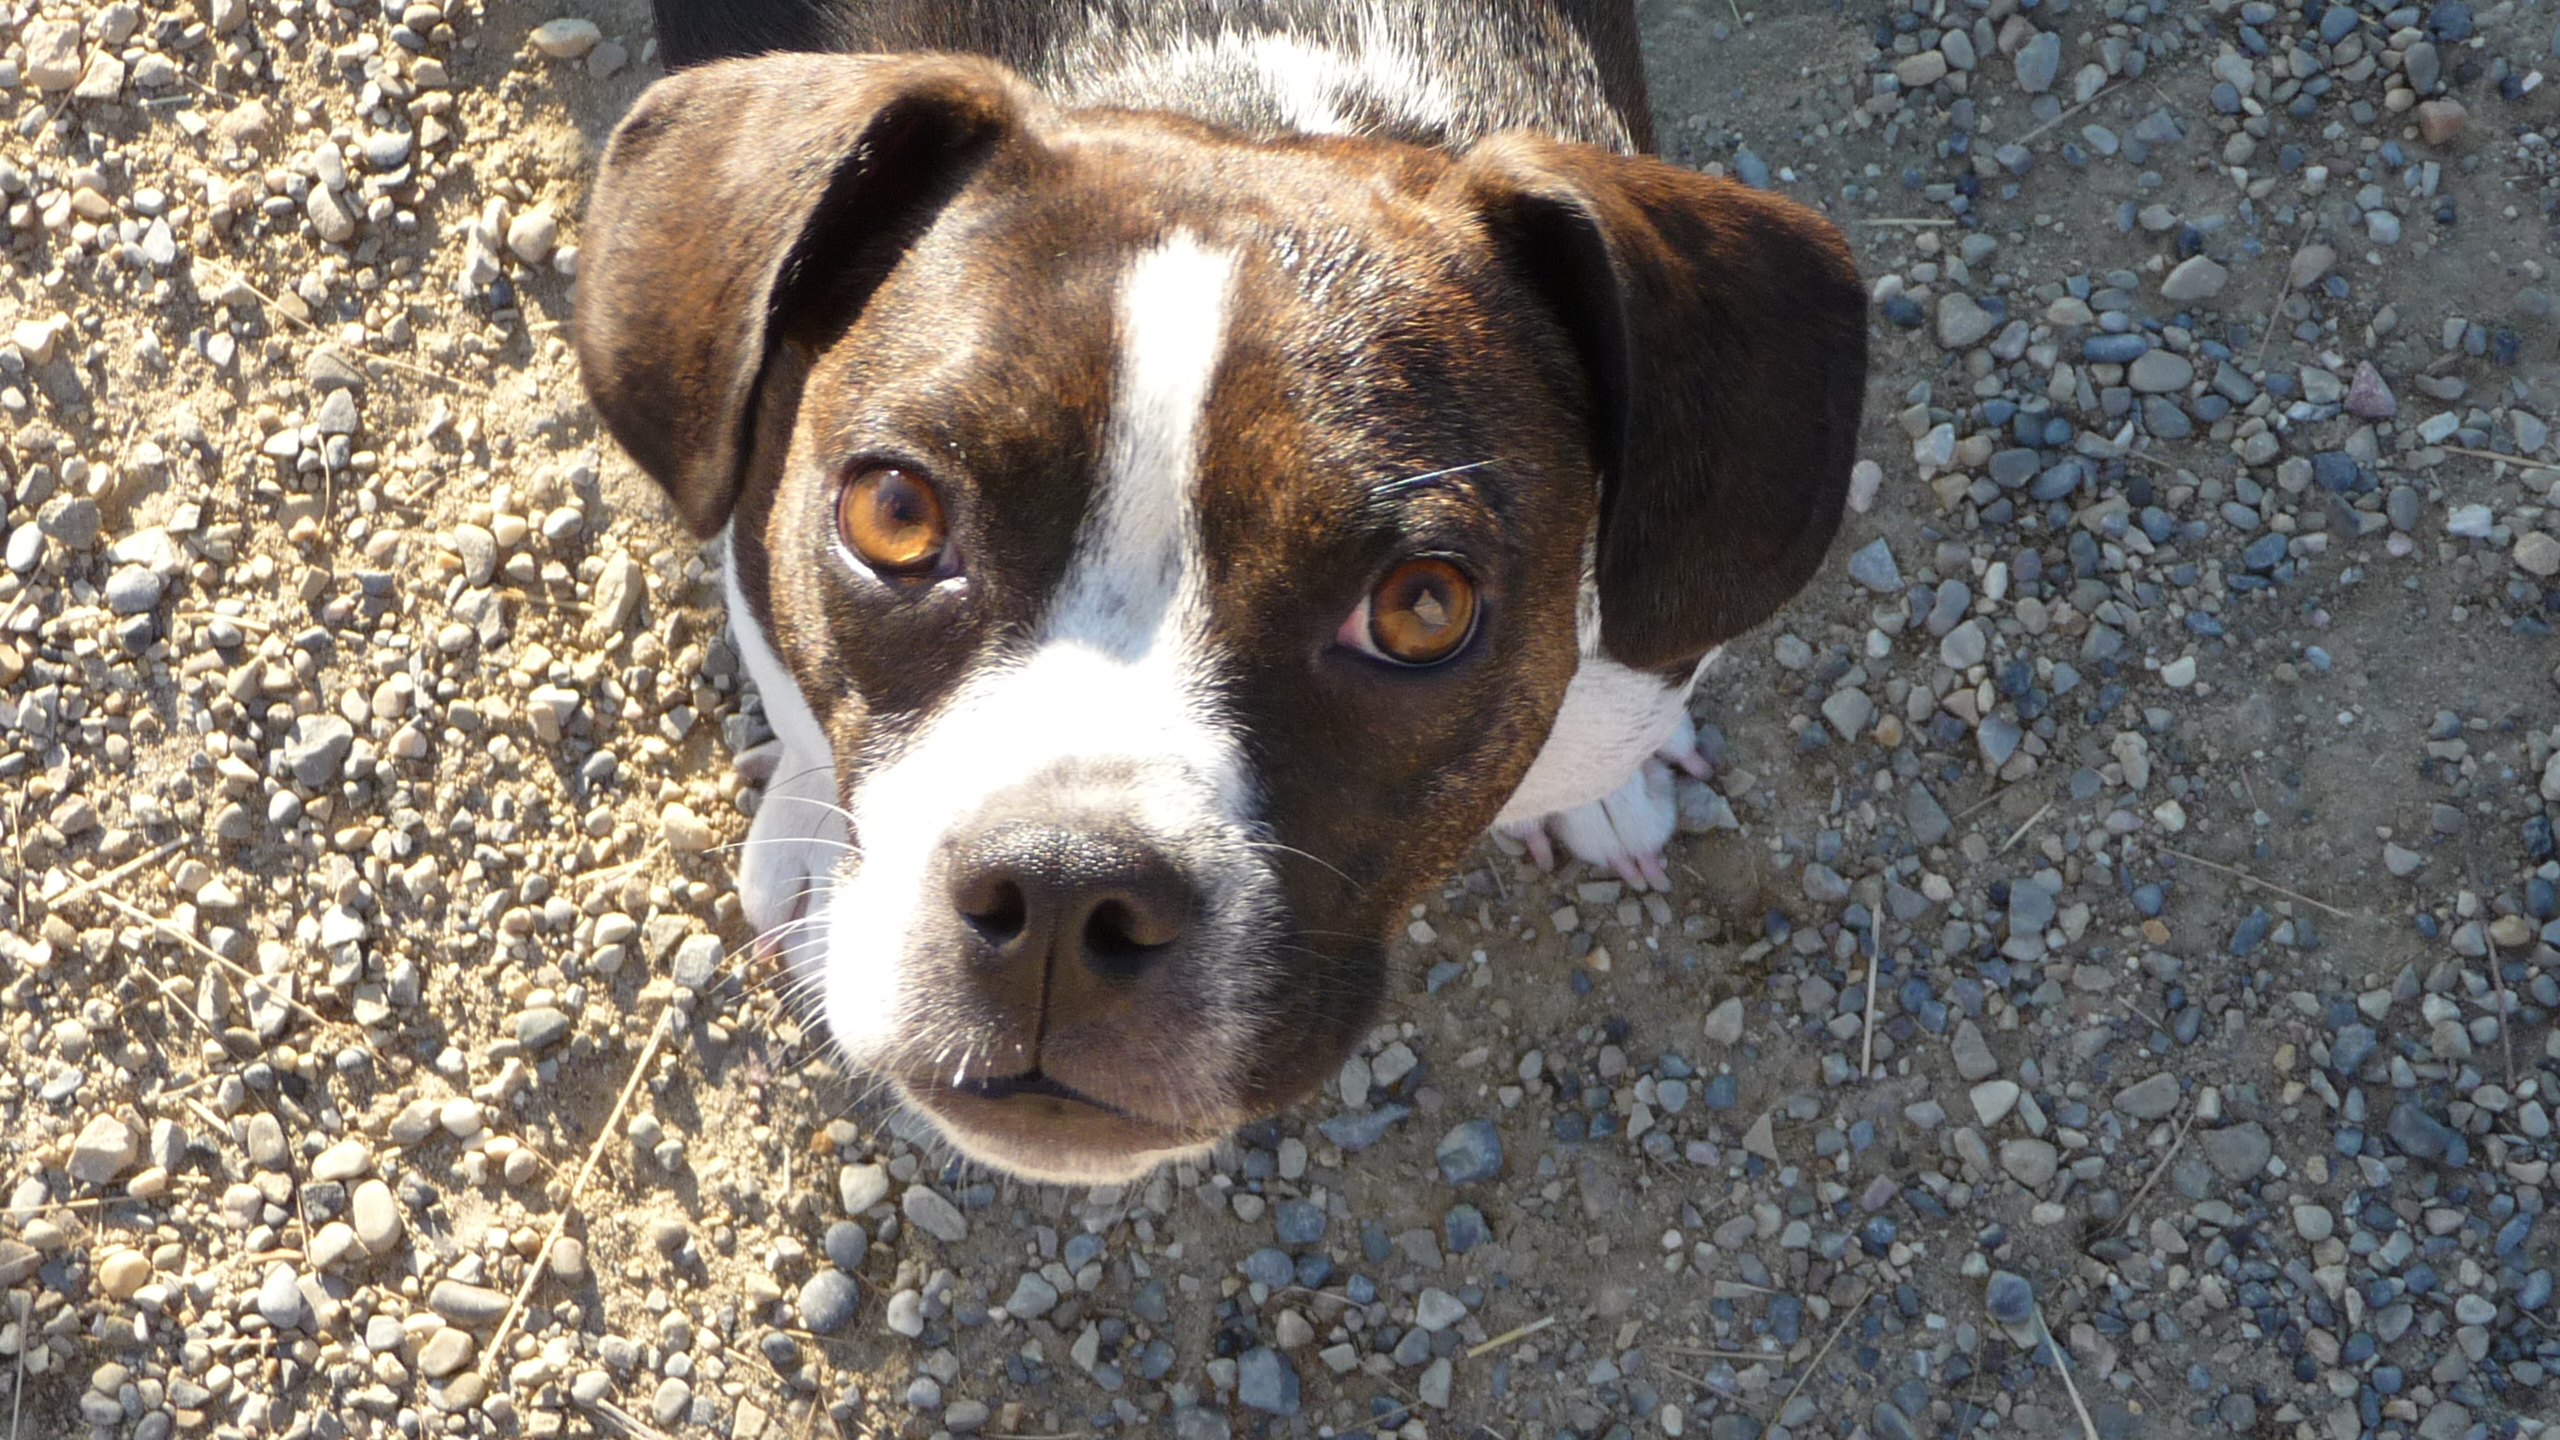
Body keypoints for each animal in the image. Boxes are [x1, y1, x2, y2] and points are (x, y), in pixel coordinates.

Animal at [574, 0, 1867, 1183]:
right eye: (896, 515)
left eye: (1421, 609)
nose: (1062, 891)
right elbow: (796, 703)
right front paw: (804, 831)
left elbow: (1604, 731)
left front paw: (1598, 790)